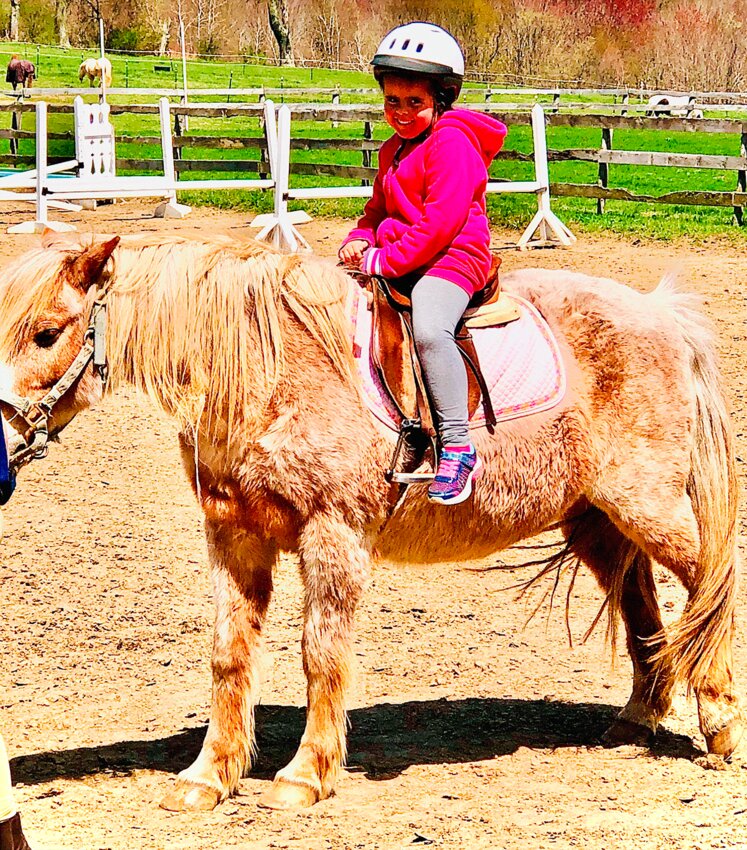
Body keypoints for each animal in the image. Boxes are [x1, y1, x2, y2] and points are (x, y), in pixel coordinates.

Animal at [0, 230, 740, 808]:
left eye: (46, 334)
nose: (0, 444)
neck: (269, 372)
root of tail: (658, 312)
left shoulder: (333, 536)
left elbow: (320, 654)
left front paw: (305, 774)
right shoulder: (234, 538)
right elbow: (228, 655)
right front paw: (209, 777)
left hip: (648, 507)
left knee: (709, 582)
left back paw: (720, 724)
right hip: (596, 521)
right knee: (643, 607)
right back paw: (637, 718)